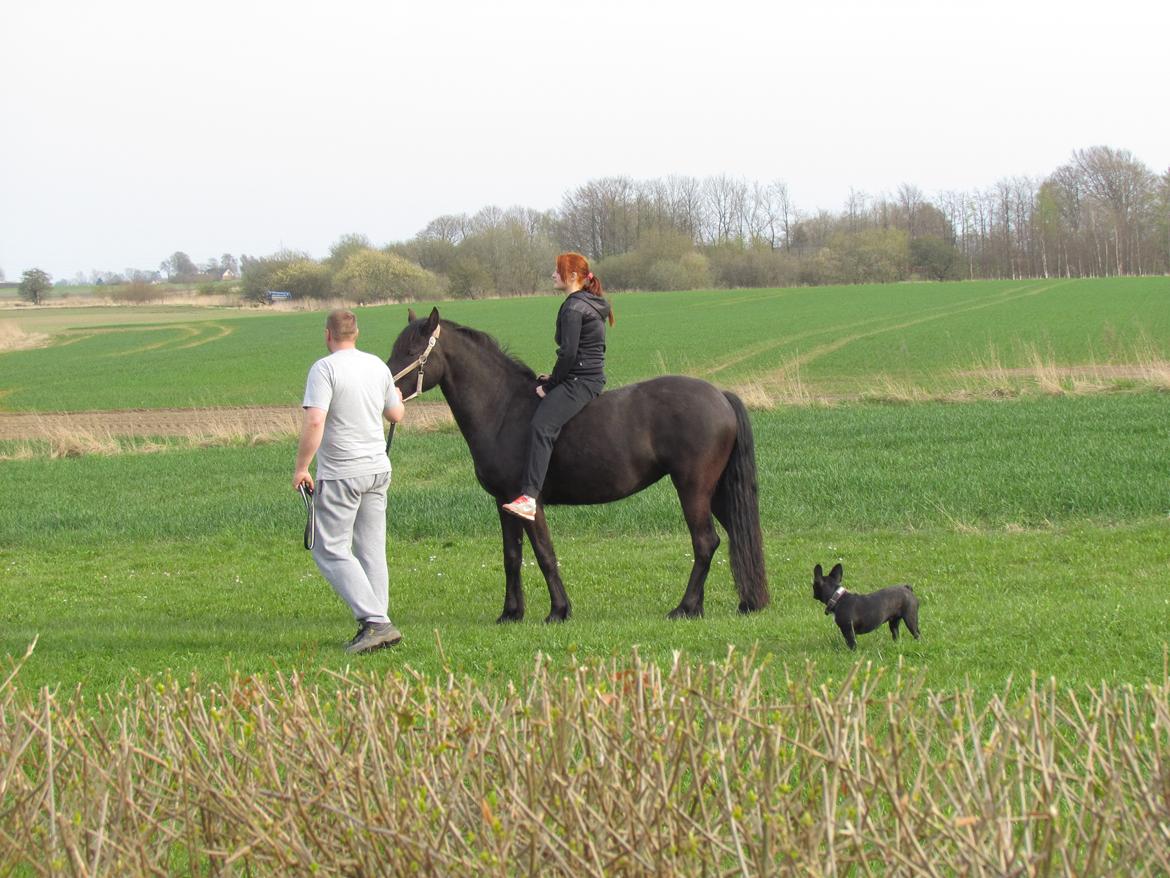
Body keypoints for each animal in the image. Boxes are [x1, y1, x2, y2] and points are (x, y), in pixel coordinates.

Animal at [386, 309, 767, 627]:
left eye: (410, 351)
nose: (386, 389)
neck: (503, 409)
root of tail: (719, 395)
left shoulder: (530, 503)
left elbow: (544, 554)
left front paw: (558, 611)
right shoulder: (504, 504)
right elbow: (512, 557)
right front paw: (511, 613)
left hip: (692, 489)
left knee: (705, 542)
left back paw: (686, 607)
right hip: (715, 492)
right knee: (736, 535)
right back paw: (744, 602)